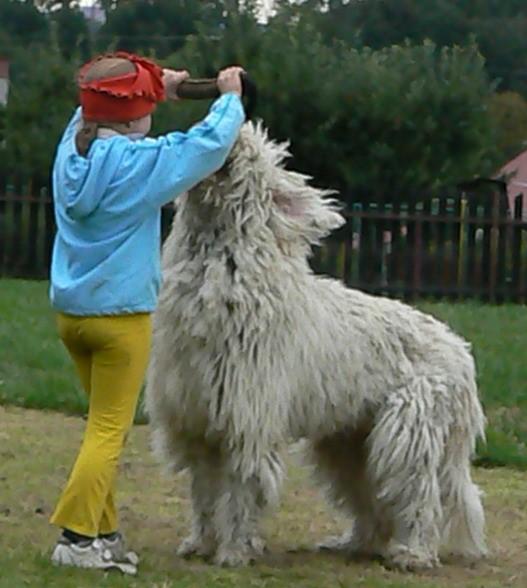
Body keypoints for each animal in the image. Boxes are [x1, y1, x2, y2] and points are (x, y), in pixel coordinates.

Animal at [146, 123, 488, 568]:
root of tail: (461, 352)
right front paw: (201, 542)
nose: (235, 130)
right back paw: (354, 543)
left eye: (256, 156)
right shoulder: (196, 419)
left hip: (408, 433)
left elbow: (240, 491)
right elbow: (204, 493)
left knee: (421, 496)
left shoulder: (247, 420)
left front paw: (234, 550)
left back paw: (413, 553)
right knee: (372, 501)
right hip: (349, 441)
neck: (218, 276)